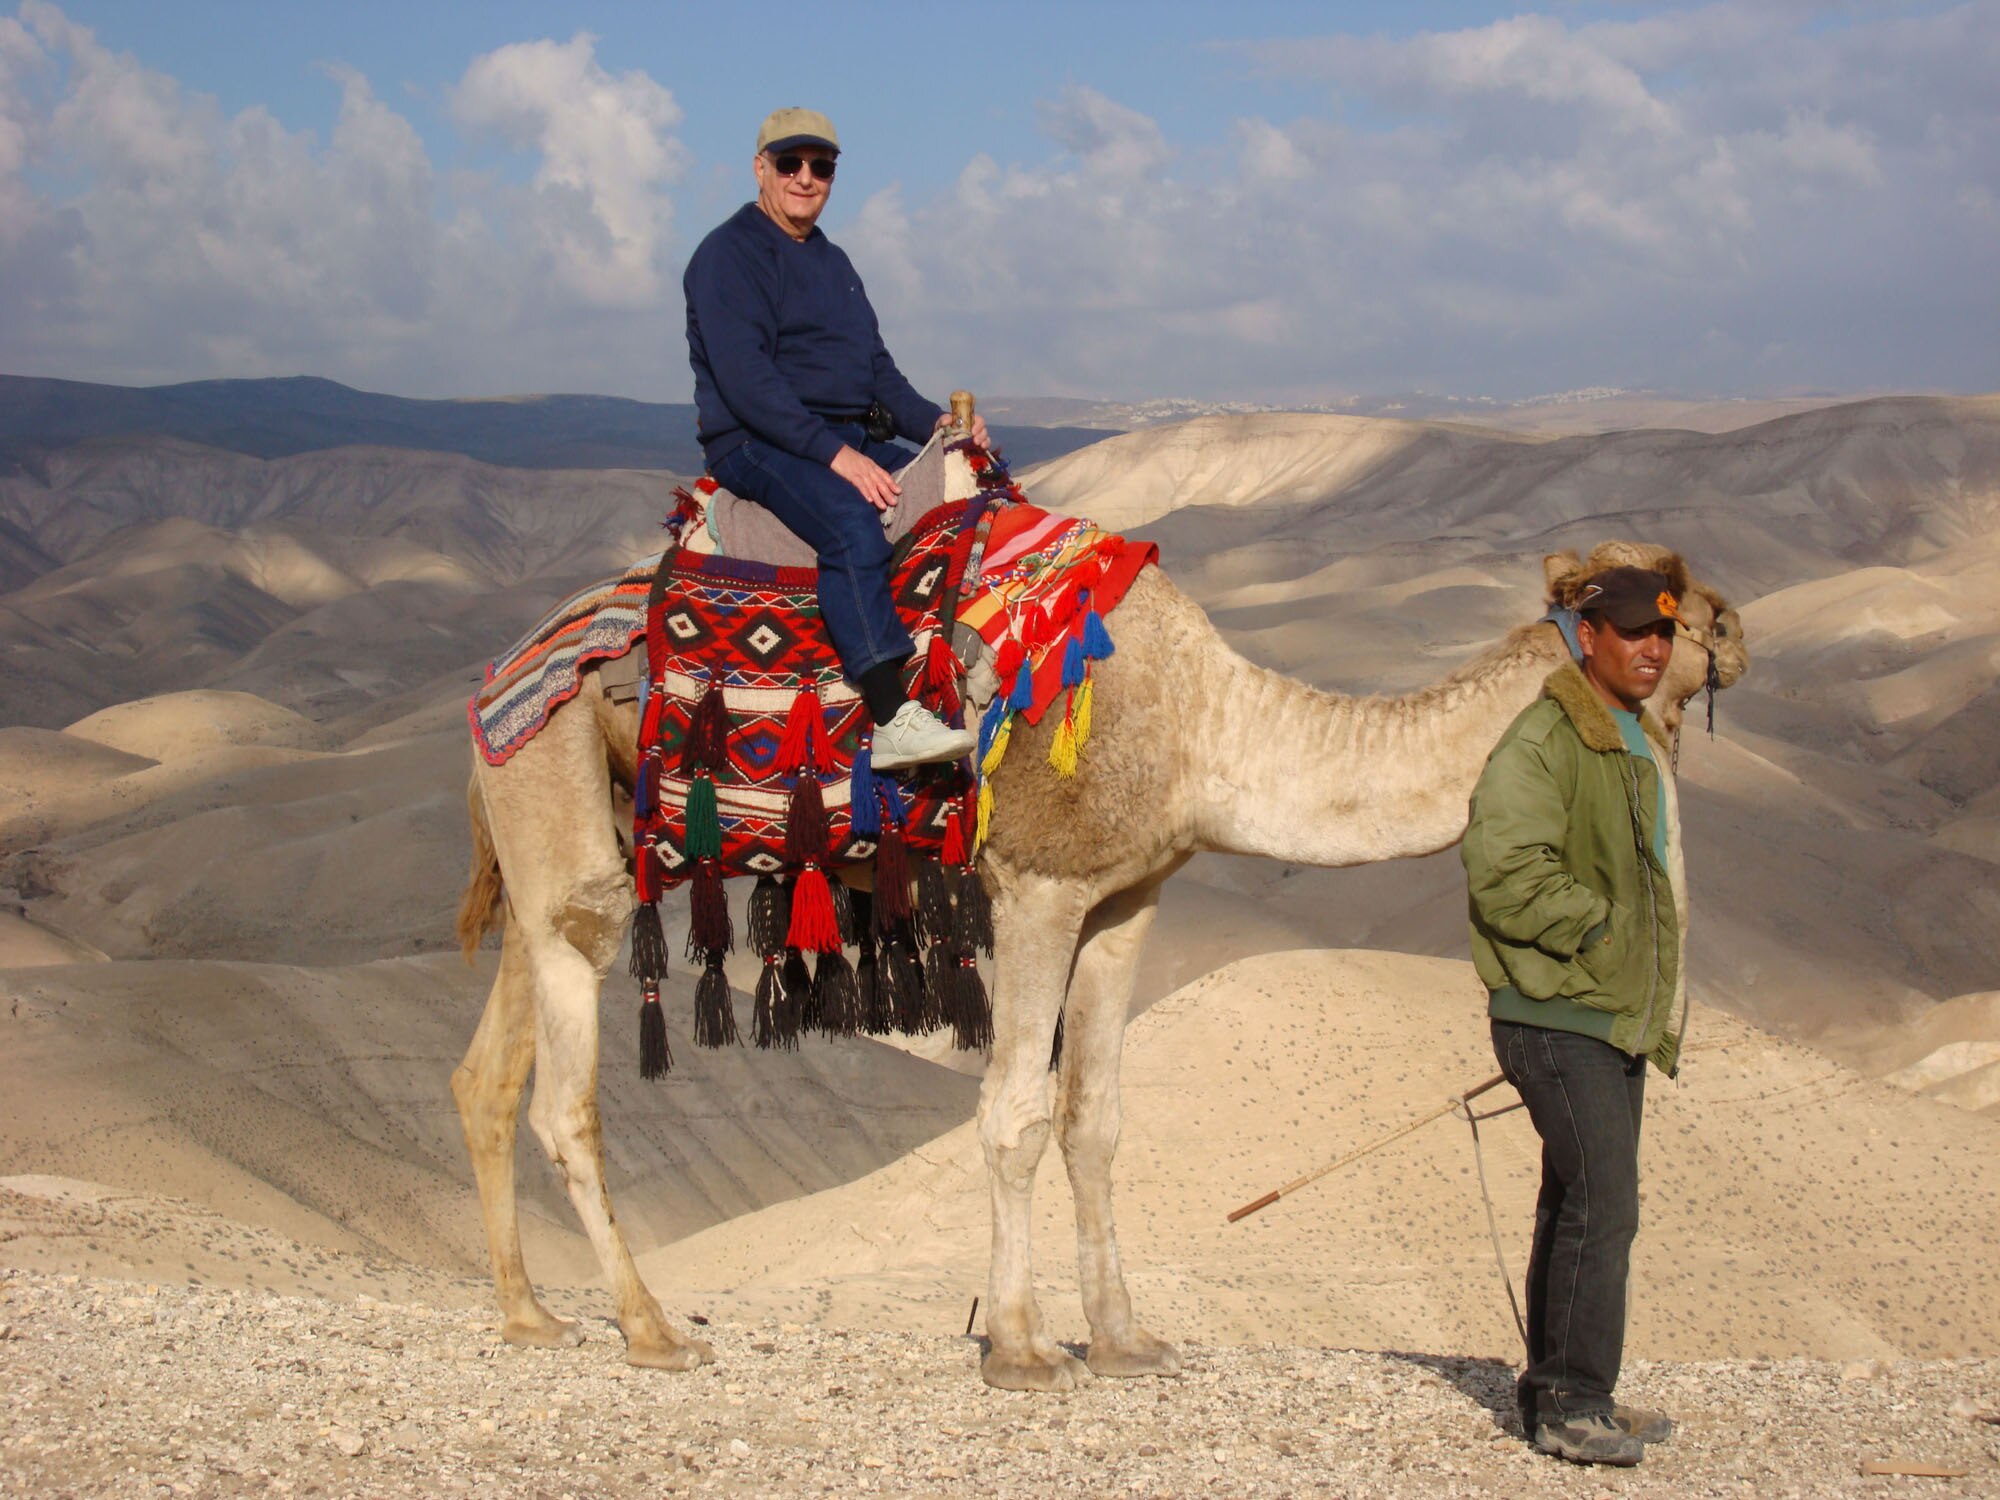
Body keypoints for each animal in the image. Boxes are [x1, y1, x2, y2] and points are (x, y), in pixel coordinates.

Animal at [454, 524, 1752, 1392]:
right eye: (1668, 604)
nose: (1738, 636)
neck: (1208, 729)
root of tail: (500, 670)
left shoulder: (1126, 897)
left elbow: (1097, 1121)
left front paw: (1125, 1339)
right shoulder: (1037, 885)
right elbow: (1013, 1115)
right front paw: (1024, 1349)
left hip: (552, 848)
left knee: (487, 1079)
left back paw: (529, 1318)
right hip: (563, 827)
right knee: (564, 1097)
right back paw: (648, 1328)